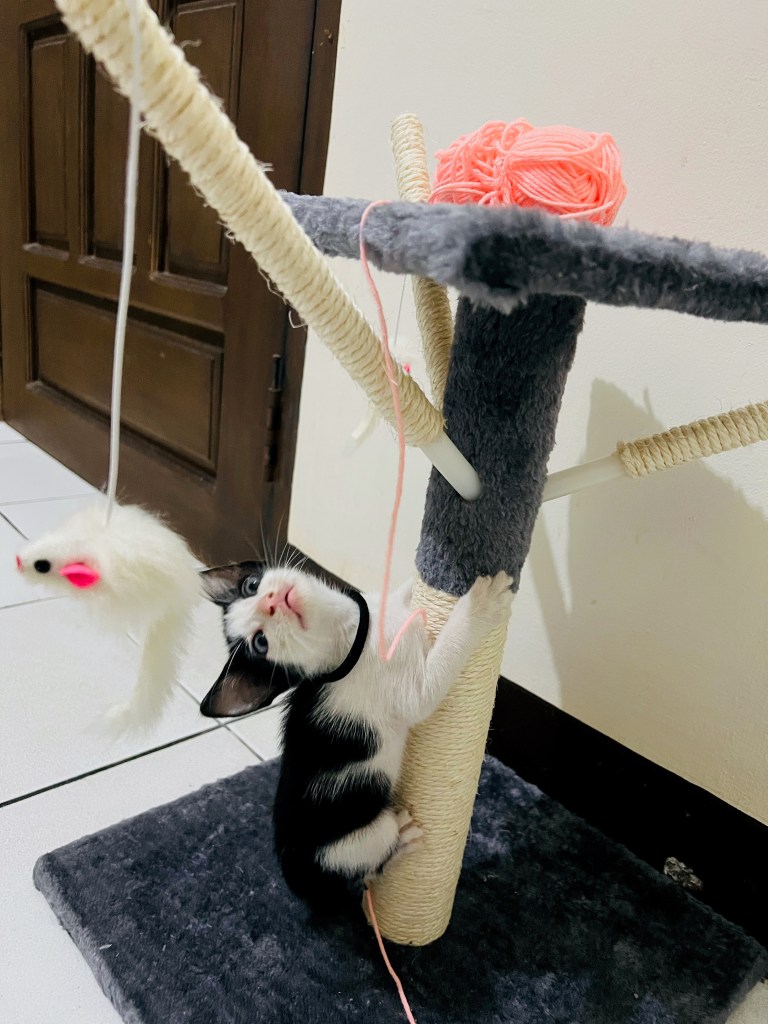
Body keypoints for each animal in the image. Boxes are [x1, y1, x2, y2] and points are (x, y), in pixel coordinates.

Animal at [200, 560, 513, 913]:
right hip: (357, 839)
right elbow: (432, 681)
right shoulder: (412, 692)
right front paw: (481, 605)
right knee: (370, 869)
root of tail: (299, 877)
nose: (269, 601)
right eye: (260, 643)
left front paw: (420, 575)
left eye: (251, 585)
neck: (352, 632)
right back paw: (402, 843)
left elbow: (396, 594)